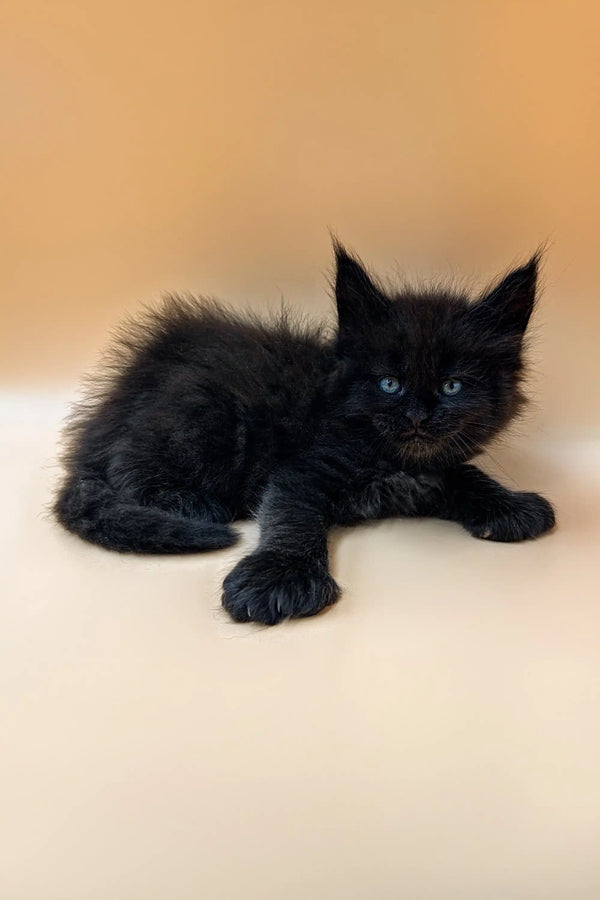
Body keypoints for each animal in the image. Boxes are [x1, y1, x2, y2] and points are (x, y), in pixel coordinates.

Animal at [54, 243, 556, 624]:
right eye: (388, 383)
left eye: (453, 386)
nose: (417, 416)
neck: (393, 458)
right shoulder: (305, 468)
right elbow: (293, 516)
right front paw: (280, 576)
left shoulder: (430, 470)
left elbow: (465, 474)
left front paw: (509, 504)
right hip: (200, 413)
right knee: (129, 469)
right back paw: (192, 503)